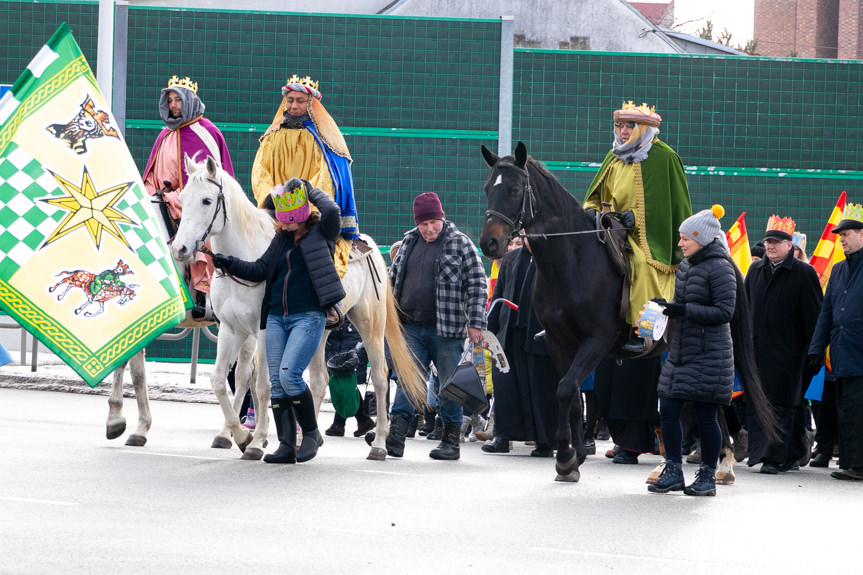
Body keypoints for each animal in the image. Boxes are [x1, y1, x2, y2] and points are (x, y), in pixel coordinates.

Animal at [170, 155, 426, 462]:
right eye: (182, 199)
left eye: (207, 200)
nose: (180, 249)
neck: (248, 259)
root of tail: (373, 248)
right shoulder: (231, 330)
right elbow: (221, 380)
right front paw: (239, 436)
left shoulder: (262, 330)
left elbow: (263, 385)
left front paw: (256, 442)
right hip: (320, 333)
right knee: (318, 380)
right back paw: (306, 437)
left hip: (371, 326)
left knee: (380, 378)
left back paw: (378, 445)